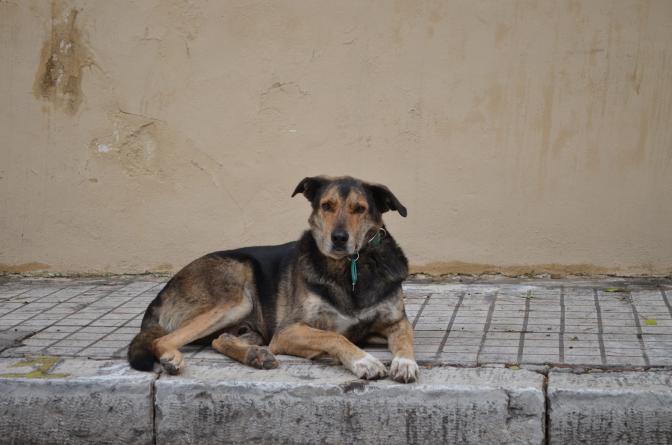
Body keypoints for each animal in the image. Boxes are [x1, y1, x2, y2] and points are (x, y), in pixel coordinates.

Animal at [128, 176, 418, 382]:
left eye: (360, 209)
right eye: (327, 206)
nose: (338, 238)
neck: (351, 267)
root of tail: (162, 292)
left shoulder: (395, 321)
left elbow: (405, 338)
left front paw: (405, 363)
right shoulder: (287, 331)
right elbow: (334, 337)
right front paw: (364, 361)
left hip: (249, 325)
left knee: (219, 339)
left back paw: (255, 355)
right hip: (236, 297)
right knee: (161, 340)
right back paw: (172, 359)